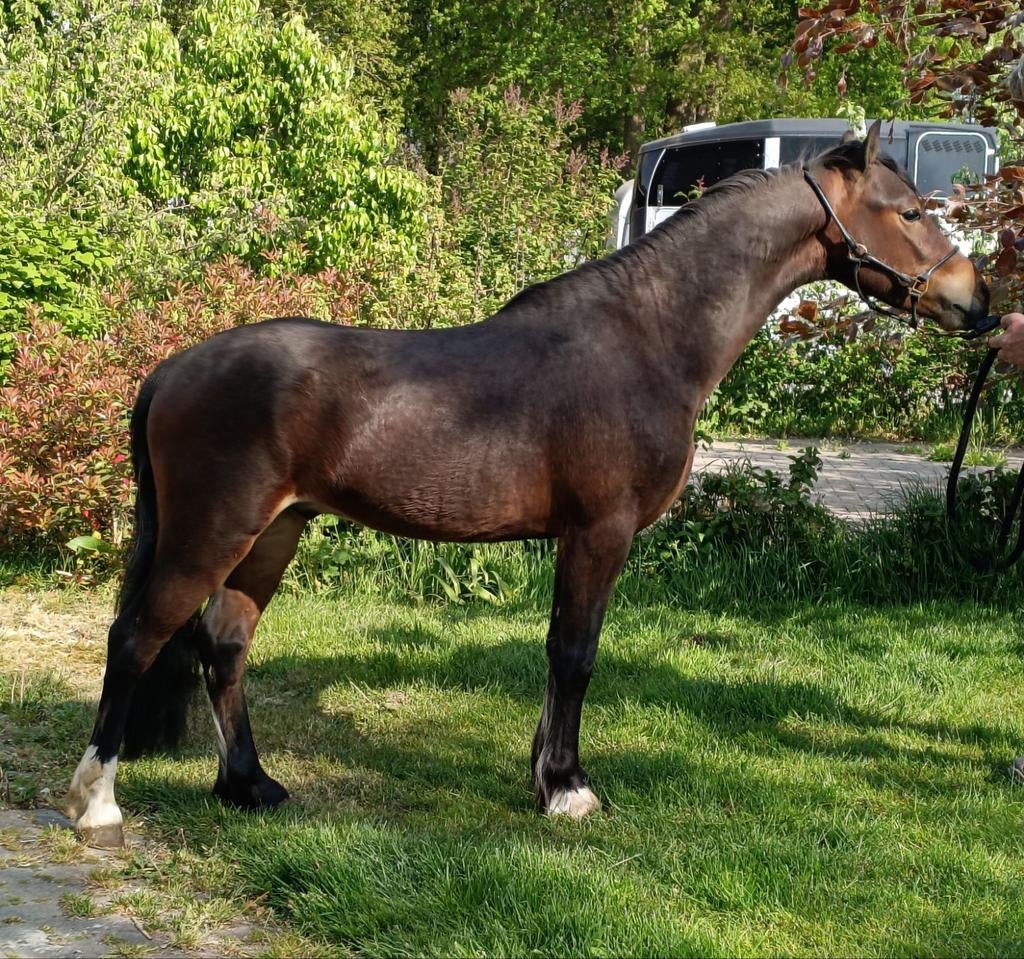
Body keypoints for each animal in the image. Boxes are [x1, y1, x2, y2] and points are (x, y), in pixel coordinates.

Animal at [67, 122, 989, 846]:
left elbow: (558, 657)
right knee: (138, 635)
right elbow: (574, 655)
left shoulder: (580, 539)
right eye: (909, 211)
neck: (647, 338)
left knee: (224, 645)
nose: (976, 300)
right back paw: (98, 802)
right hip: (213, 531)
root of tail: (173, 369)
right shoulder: (600, 531)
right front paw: (571, 790)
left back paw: (250, 786)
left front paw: (544, 775)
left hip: (274, 531)